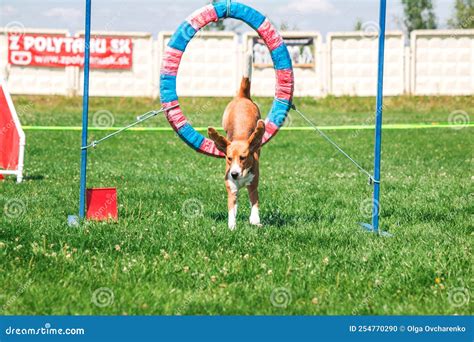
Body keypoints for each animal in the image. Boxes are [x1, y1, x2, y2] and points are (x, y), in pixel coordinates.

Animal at [208, 52, 264, 230]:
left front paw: (255, 220)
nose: (234, 173)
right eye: (228, 158)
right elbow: (231, 207)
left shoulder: (253, 184)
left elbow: (254, 203)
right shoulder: (231, 188)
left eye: (244, 157)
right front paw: (232, 225)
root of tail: (242, 96)